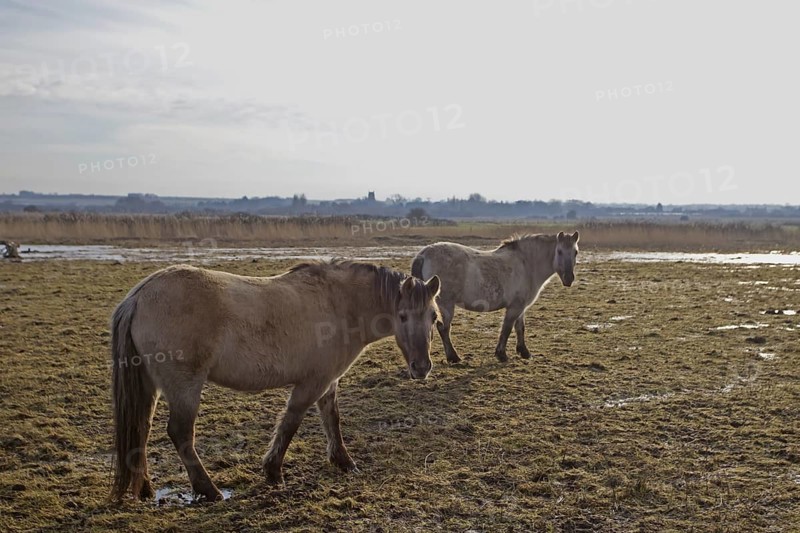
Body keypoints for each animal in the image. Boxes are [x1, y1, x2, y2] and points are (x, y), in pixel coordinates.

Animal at [109, 260, 441, 502]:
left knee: (140, 429)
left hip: (150, 387)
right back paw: (210, 491)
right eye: (402, 316)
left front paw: (344, 462)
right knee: (180, 433)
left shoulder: (328, 382)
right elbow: (290, 423)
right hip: (185, 387)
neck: (339, 304)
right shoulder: (312, 382)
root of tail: (139, 296)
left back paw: (145, 488)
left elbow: (332, 420)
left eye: (434, 317)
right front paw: (273, 471)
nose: (422, 367)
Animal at [411, 231, 579, 363]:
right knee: (444, 328)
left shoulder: (520, 306)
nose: (569, 278)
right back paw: (453, 357)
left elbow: (520, 328)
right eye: (559, 251)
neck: (526, 264)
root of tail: (424, 254)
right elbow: (507, 328)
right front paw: (501, 355)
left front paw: (524, 352)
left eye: (575, 252)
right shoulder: (515, 307)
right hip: (446, 304)